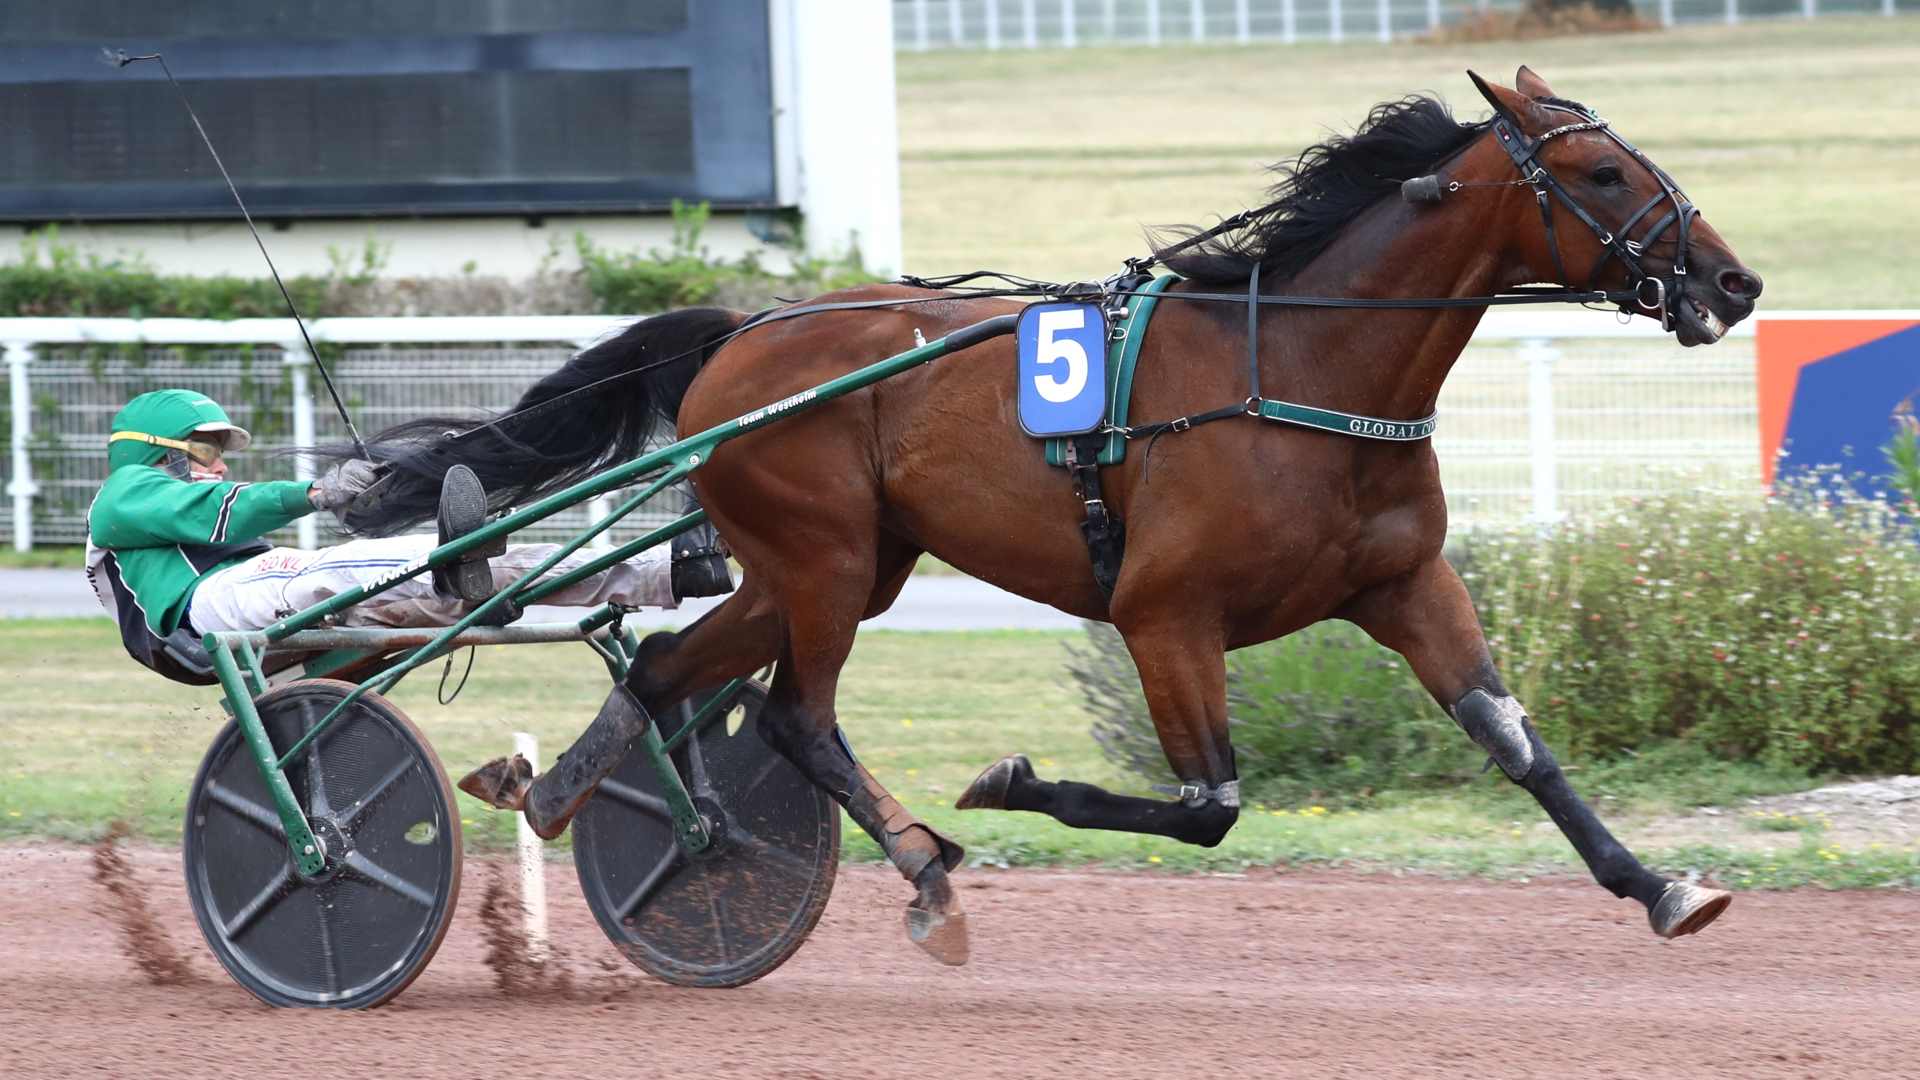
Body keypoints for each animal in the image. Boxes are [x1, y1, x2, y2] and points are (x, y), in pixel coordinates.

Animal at [341, 68, 1762, 964]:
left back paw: (571, 800)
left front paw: (1660, 886)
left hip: (839, 564)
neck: (1300, 372)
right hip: (822, 556)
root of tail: (744, 329)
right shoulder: (1163, 612)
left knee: (675, 668)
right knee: (797, 715)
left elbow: (1519, 746)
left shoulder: (1408, 586)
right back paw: (921, 868)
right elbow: (1209, 803)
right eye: (1600, 169)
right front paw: (1011, 779)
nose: (1735, 282)